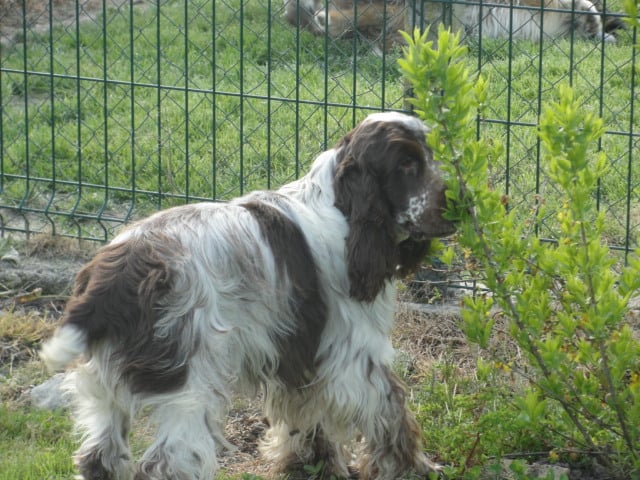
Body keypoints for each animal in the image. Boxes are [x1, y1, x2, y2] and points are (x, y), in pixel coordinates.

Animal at [41, 111, 456, 480]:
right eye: (406, 164)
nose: (459, 200)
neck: (341, 210)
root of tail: (108, 280)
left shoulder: (299, 351)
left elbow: (306, 416)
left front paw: (309, 464)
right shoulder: (354, 356)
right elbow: (391, 411)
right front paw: (415, 469)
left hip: (103, 385)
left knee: (98, 458)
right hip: (188, 388)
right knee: (165, 465)